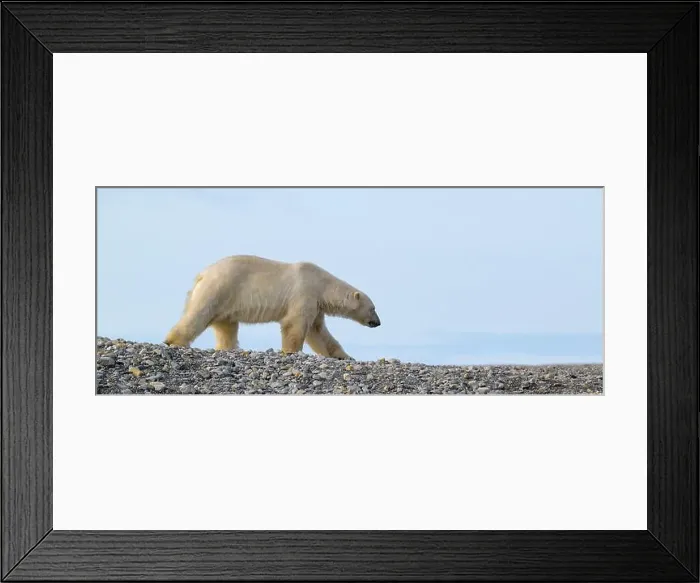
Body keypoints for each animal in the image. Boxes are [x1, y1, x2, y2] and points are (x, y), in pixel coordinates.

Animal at [163, 255, 381, 360]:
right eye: (373, 308)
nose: (378, 323)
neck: (322, 284)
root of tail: (202, 274)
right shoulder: (304, 293)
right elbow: (294, 325)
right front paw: (291, 351)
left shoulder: (316, 304)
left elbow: (318, 332)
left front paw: (343, 356)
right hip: (220, 288)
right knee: (199, 314)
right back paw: (173, 341)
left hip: (226, 303)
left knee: (227, 327)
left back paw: (228, 348)